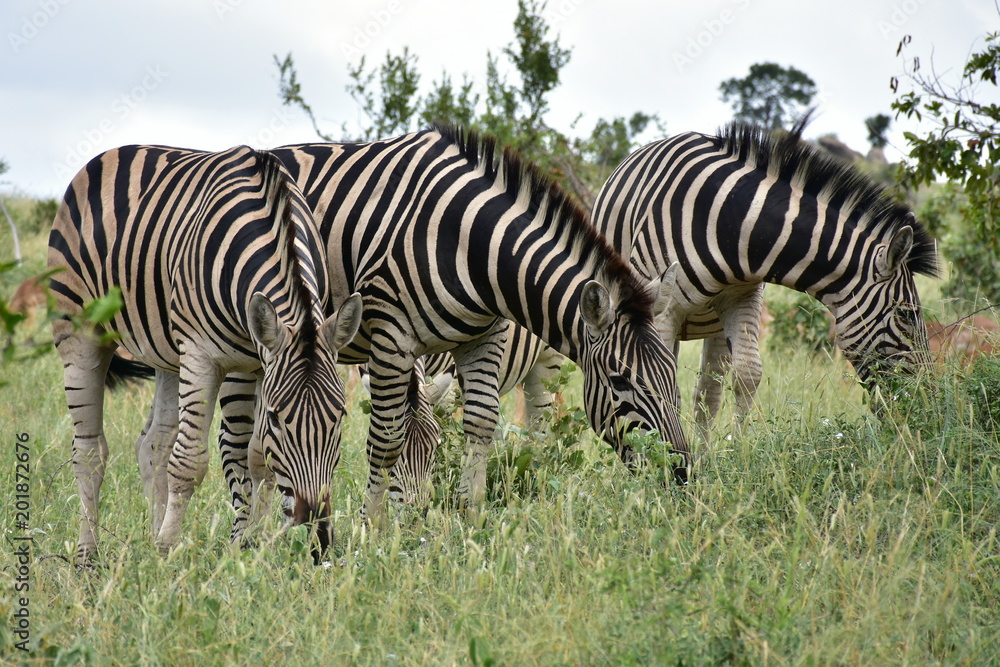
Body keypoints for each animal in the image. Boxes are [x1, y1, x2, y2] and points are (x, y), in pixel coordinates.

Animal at [48, 145, 362, 564]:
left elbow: (258, 458)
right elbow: (189, 461)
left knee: (154, 443)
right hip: (82, 336)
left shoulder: (258, 363)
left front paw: (255, 548)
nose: (318, 539)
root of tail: (110, 154)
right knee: (90, 452)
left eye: (339, 417)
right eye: (277, 419)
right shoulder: (200, 356)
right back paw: (87, 555)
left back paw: (150, 536)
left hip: (166, 351)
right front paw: (168, 550)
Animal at [216, 125, 690, 530]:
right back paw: (253, 536)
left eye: (672, 373)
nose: (681, 473)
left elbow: (480, 424)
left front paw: (470, 516)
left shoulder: (486, 336)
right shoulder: (390, 335)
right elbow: (386, 438)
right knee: (236, 441)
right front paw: (372, 530)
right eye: (620, 380)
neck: (469, 245)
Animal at [591, 121, 939, 438]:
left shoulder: (743, 296)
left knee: (707, 392)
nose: (927, 403)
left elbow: (747, 375)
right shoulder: (661, 308)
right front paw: (658, 462)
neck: (733, 224)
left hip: (712, 324)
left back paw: (704, 459)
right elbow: (656, 383)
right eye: (907, 315)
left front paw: (738, 454)